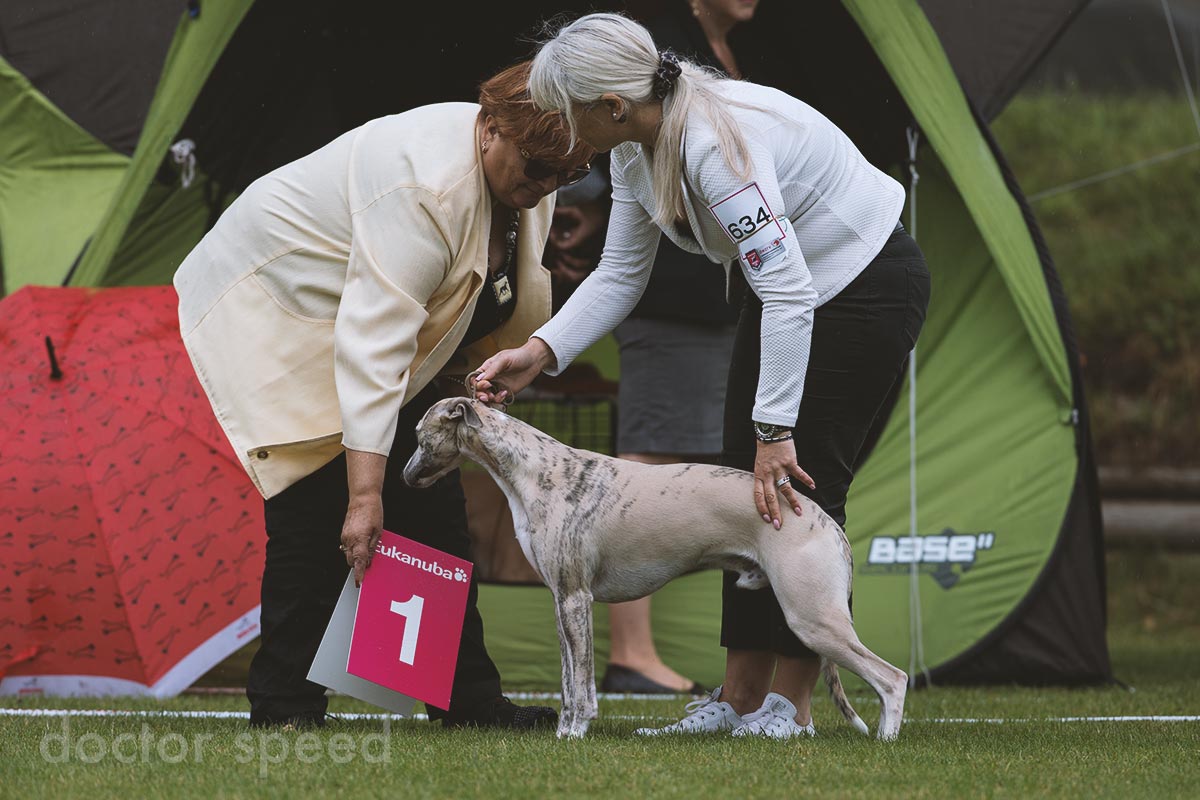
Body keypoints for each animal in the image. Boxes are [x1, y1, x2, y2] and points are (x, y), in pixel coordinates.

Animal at [405, 398, 907, 743]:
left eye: (418, 433)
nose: (407, 478)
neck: (535, 472)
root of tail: (828, 524)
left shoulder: (577, 599)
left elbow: (582, 686)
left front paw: (574, 734)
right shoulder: (561, 599)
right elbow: (568, 681)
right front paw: (563, 731)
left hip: (812, 617)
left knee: (892, 678)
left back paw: (887, 739)